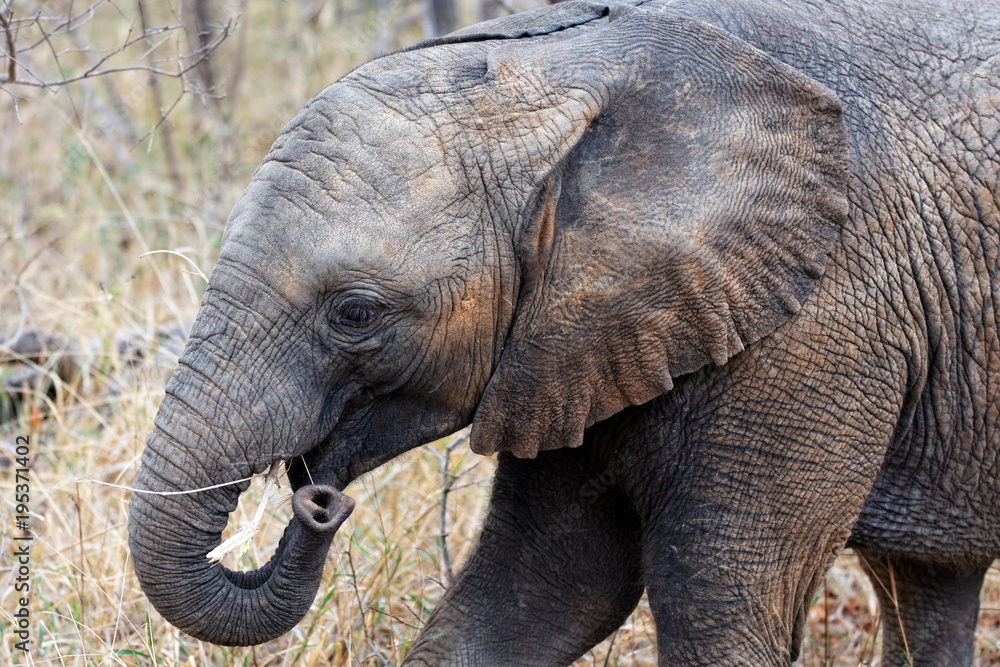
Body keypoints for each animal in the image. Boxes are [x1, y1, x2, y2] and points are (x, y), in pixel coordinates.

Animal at [127, 0, 1000, 664]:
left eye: (355, 314)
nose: (317, 497)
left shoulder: (820, 324)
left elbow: (717, 616)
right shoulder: (575, 342)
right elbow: (536, 594)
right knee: (929, 586)